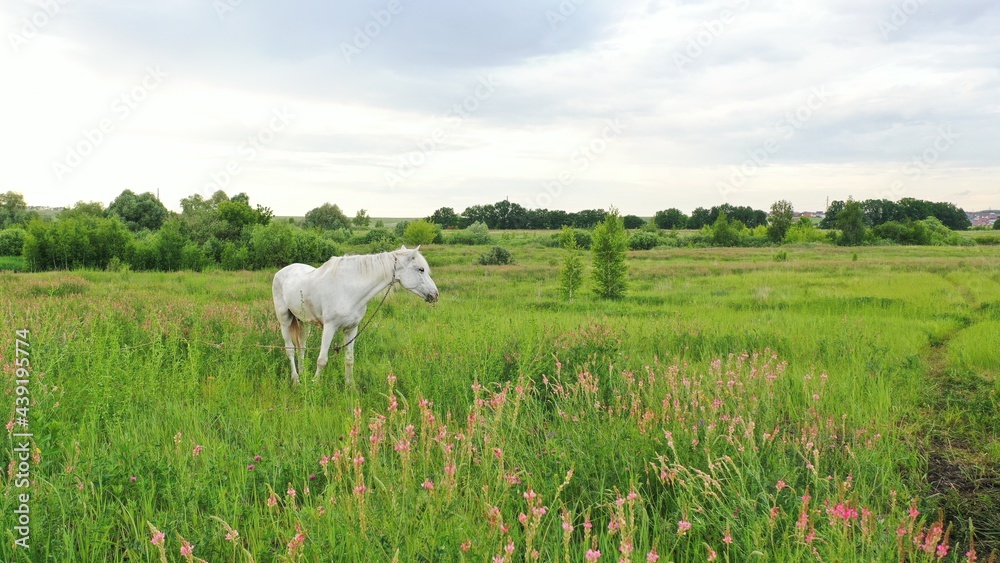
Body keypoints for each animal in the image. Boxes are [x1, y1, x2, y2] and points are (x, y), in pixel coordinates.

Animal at [272, 245, 439, 385]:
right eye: (421, 269)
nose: (435, 294)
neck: (349, 288)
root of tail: (282, 271)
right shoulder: (329, 327)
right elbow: (322, 360)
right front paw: (314, 384)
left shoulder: (351, 329)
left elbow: (349, 359)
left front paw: (350, 387)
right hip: (285, 320)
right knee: (290, 349)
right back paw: (296, 380)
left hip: (304, 322)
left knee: (301, 347)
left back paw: (303, 373)